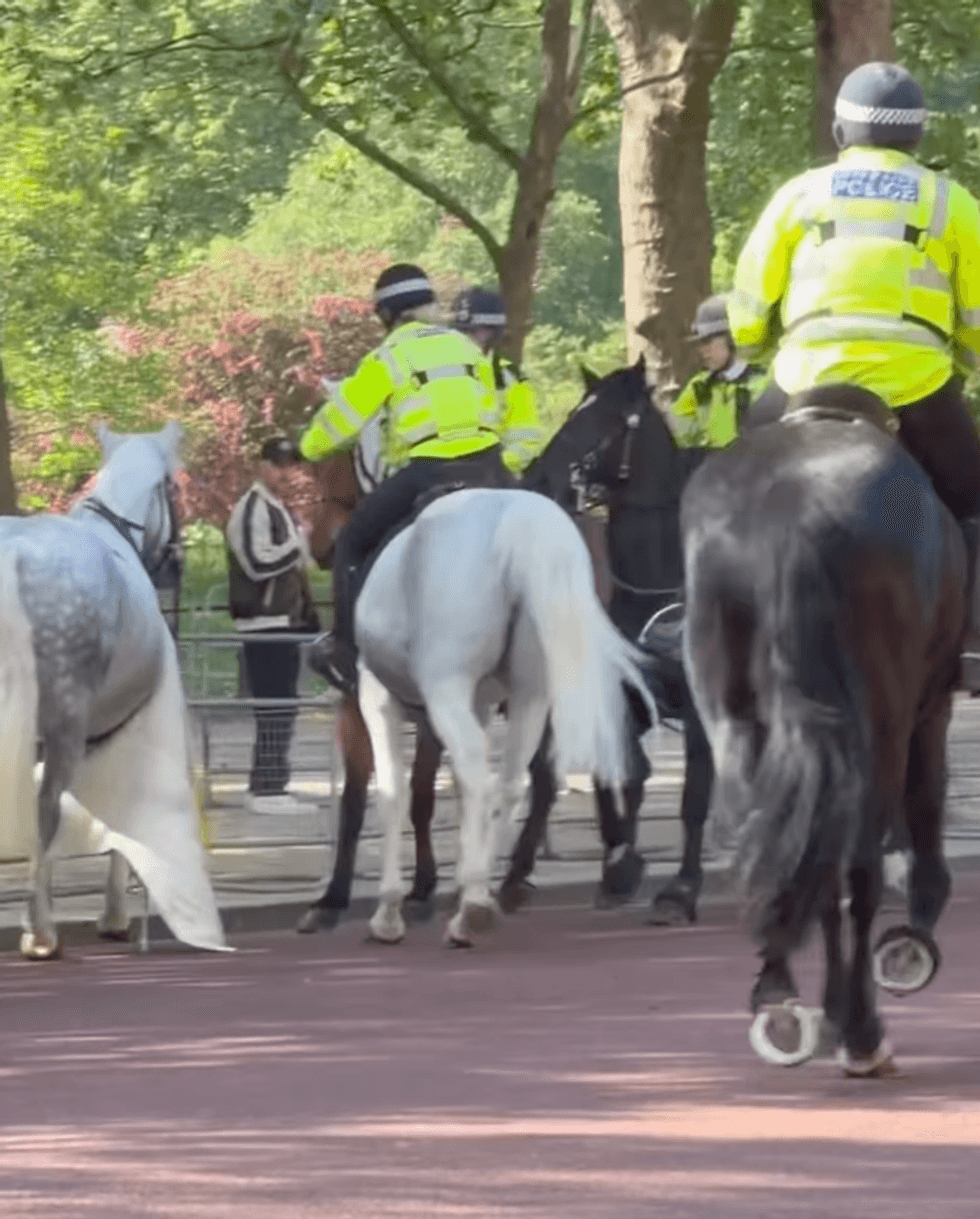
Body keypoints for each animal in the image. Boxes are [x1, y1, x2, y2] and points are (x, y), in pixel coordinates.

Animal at [0, 423, 227, 958]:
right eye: (176, 487)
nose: (179, 564)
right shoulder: (123, 731)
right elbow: (118, 826)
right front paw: (116, 915)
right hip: (65, 724)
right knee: (47, 808)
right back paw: (41, 933)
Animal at [682, 384, 964, 1076]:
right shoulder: (927, 707)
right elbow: (920, 819)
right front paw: (909, 945)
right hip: (882, 720)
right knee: (857, 861)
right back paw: (861, 1029)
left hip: (735, 717)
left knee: (770, 841)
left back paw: (780, 997)